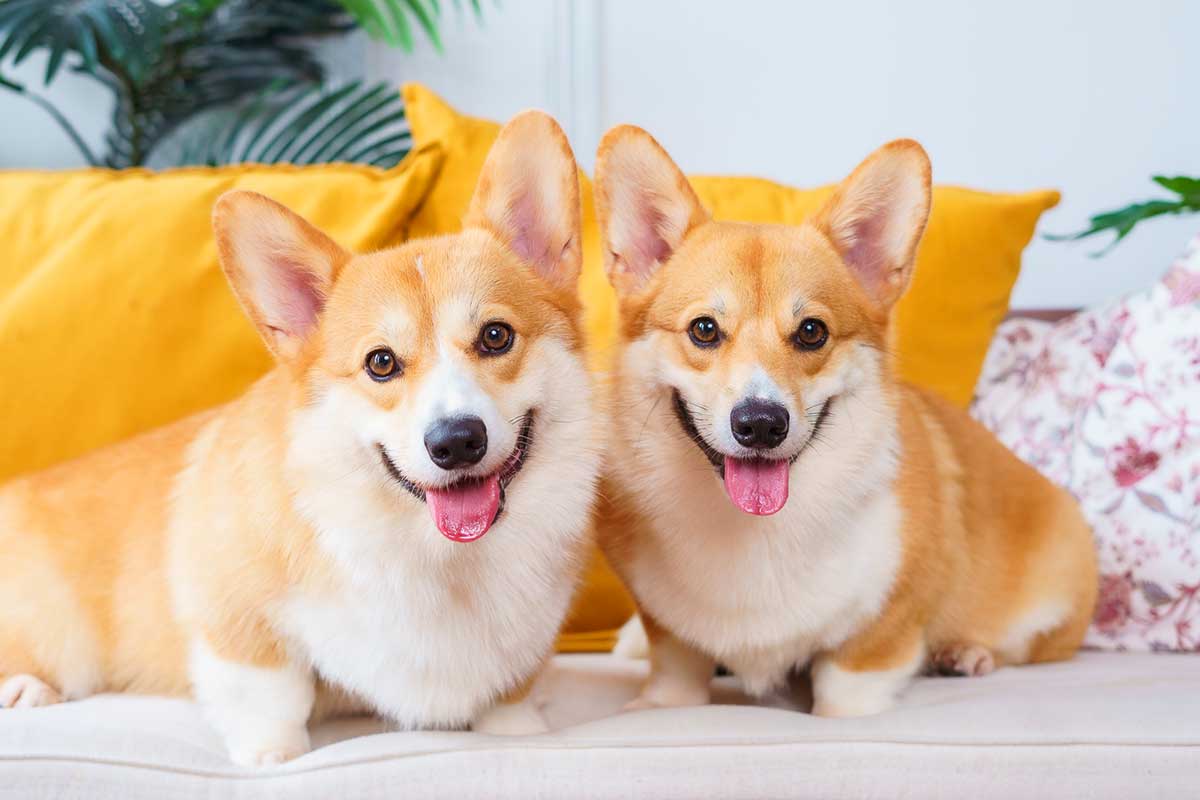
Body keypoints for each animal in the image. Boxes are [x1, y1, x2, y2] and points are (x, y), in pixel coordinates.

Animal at [0, 110, 600, 762]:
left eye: (496, 336)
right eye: (381, 363)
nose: (456, 441)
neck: (438, 558)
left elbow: (509, 698)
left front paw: (521, 732)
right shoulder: (237, 618)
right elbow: (273, 695)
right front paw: (272, 757)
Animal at [590, 128, 1099, 714]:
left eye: (812, 331)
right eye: (704, 329)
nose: (761, 424)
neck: (753, 531)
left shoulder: (877, 639)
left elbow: (844, 695)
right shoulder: (670, 637)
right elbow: (673, 674)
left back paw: (963, 654)